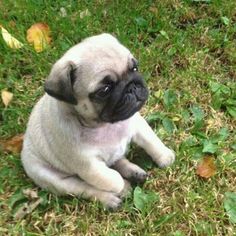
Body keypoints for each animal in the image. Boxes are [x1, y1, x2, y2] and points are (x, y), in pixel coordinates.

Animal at [20, 32, 175, 208]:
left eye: (134, 68)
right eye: (104, 90)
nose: (132, 86)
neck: (104, 125)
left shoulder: (137, 123)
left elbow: (151, 141)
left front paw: (165, 157)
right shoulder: (90, 167)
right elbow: (112, 179)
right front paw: (122, 187)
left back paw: (134, 172)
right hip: (54, 179)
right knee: (85, 188)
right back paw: (111, 198)